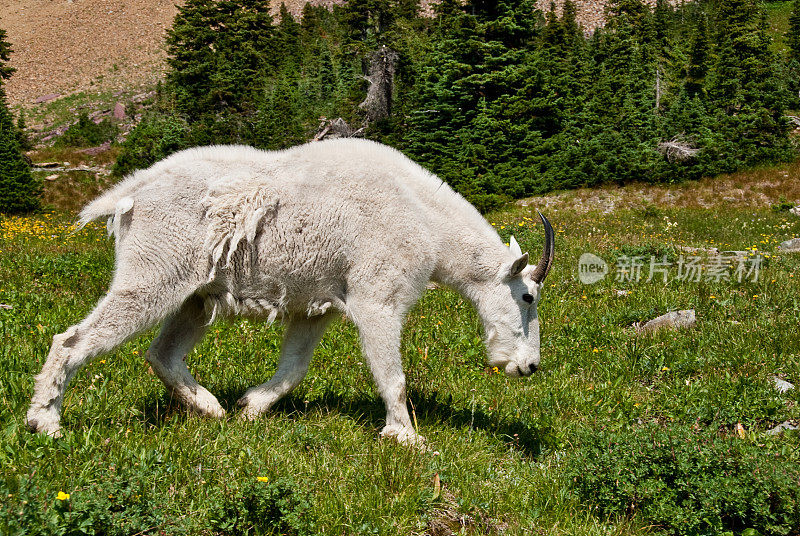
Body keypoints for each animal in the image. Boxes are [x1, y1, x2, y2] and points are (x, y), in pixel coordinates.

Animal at [25, 138, 552, 444]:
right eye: (527, 298)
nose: (528, 367)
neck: (426, 221)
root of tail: (129, 194)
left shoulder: (318, 306)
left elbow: (294, 366)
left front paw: (251, 408)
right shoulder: (377, 297)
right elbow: (393, 376)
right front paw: (406, 438)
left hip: (194, 294)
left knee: (163, 353)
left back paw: (213, 409)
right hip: (152, 274)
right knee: (72, 340)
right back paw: (44, 422)